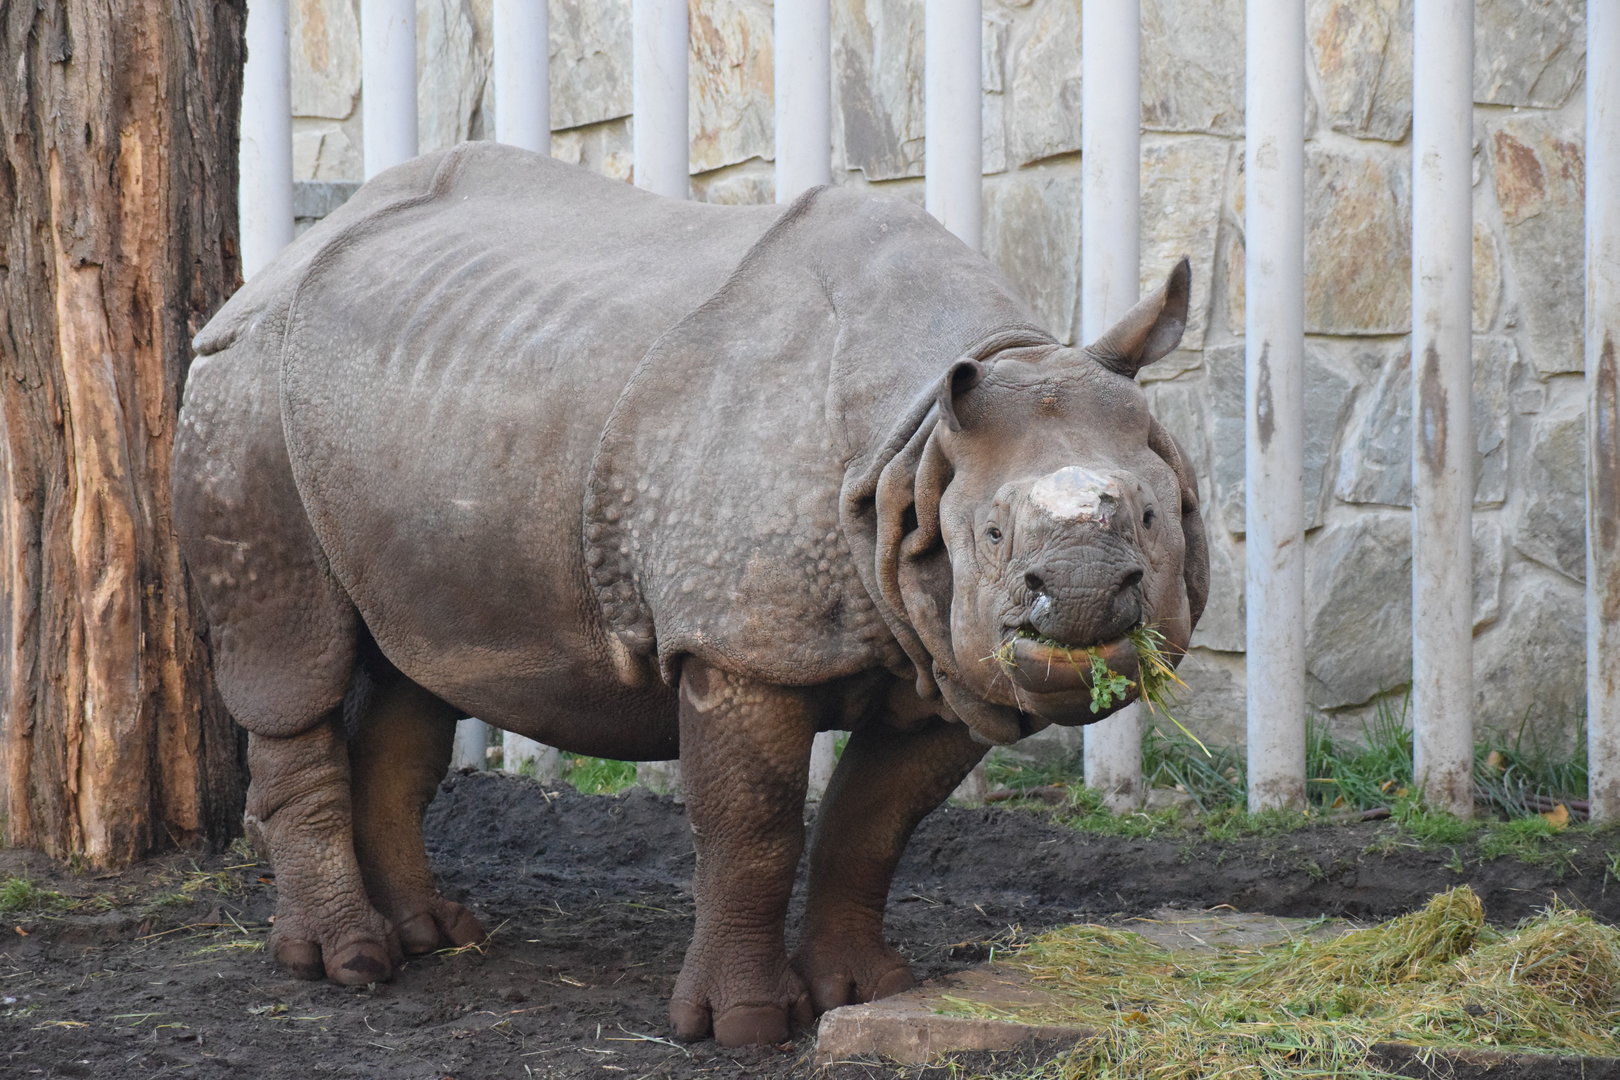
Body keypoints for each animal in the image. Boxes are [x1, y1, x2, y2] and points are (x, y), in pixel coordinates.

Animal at [173, 142, 1207, 1047]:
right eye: (992, 538)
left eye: (1153, 518)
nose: (1080, 597)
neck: (912, 453)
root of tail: (286, 259)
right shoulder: (733, 641)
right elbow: (752, 830)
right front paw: (743, 1027)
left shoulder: (944, 653)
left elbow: (874, 822)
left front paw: (867, 991)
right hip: (244, 389)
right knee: (294, 662)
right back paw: (347, 965)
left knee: (412, 667)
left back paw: (437, 936)